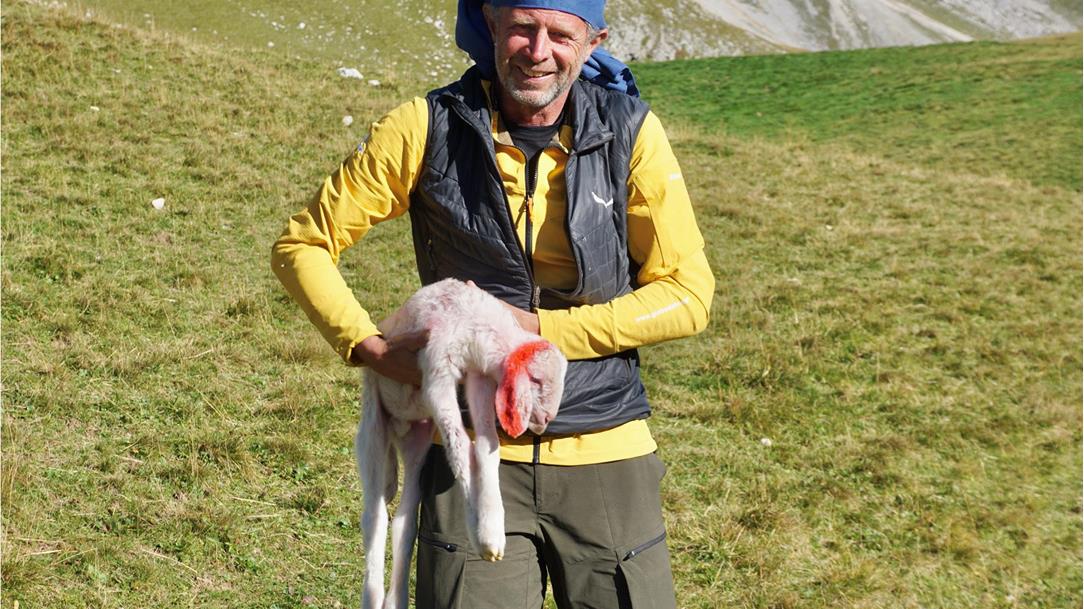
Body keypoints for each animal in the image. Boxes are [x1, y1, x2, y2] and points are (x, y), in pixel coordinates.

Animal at [355, 278, 568, 609]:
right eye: (536, 380)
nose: (546, 420)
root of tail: (398, 428)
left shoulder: (479, 379)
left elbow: (485, 449)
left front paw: (491, 527)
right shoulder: (436, 373)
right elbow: (459, 450)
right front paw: (482, 535)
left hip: (418, 443)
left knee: (403, 522)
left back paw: (396, 599)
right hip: (372, 428)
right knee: (373, 518)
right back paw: (373, 595)